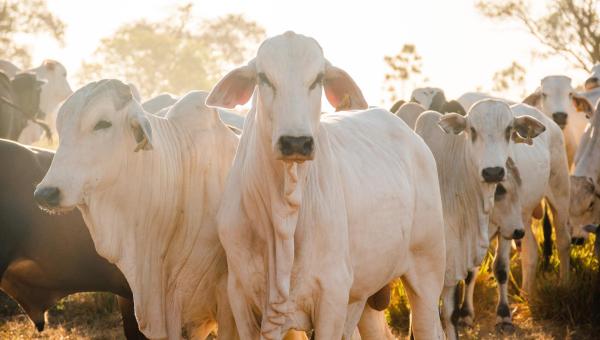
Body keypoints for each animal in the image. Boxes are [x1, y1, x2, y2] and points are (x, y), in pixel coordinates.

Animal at [206, 30, 446, 338]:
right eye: (263, 77)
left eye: (317, 79)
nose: (296, 142)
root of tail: (414, 138)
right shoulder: (239, 295)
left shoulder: (332, 295)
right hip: (362, 298)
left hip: (427, 273)